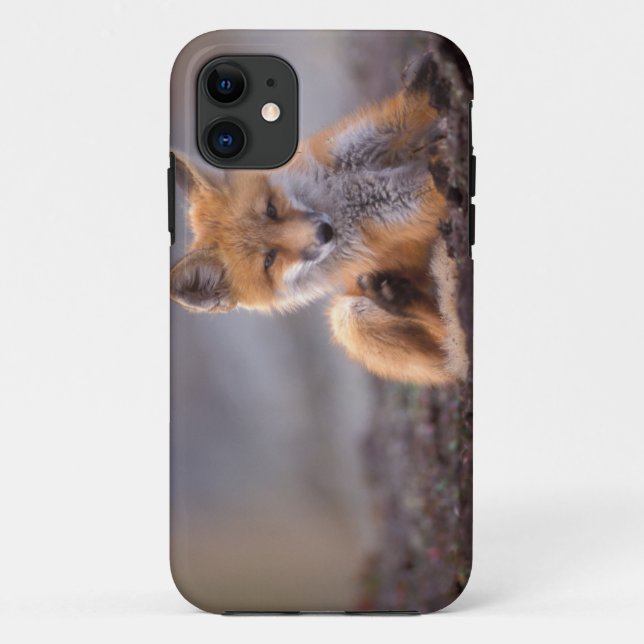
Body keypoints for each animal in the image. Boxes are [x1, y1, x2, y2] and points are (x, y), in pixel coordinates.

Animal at [170, 57, 468, 385]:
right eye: (269, 261)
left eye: (271, 209)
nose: (324, 232)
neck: (338, 196)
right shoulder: (395, 212)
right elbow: (430, 187)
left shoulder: (360, 145)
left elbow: (407, 107)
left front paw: (433, 67)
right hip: (348, 318)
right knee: (450, 353)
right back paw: (400, 297)